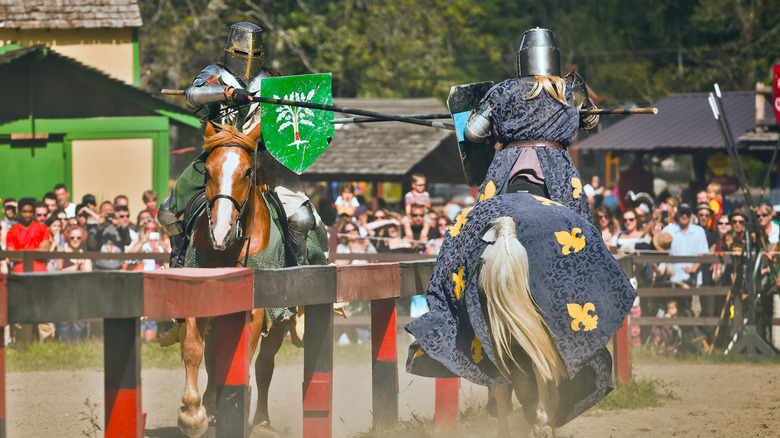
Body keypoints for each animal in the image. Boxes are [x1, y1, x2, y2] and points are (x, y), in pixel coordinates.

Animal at [175, 121, 288, 436]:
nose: (220, 232)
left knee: (264, 364)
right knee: (215, 356)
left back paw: (261, 420)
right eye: (207, 171)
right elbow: (193, 349)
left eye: (247, 172)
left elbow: (246, 359)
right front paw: (192, 413)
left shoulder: (258, 310)